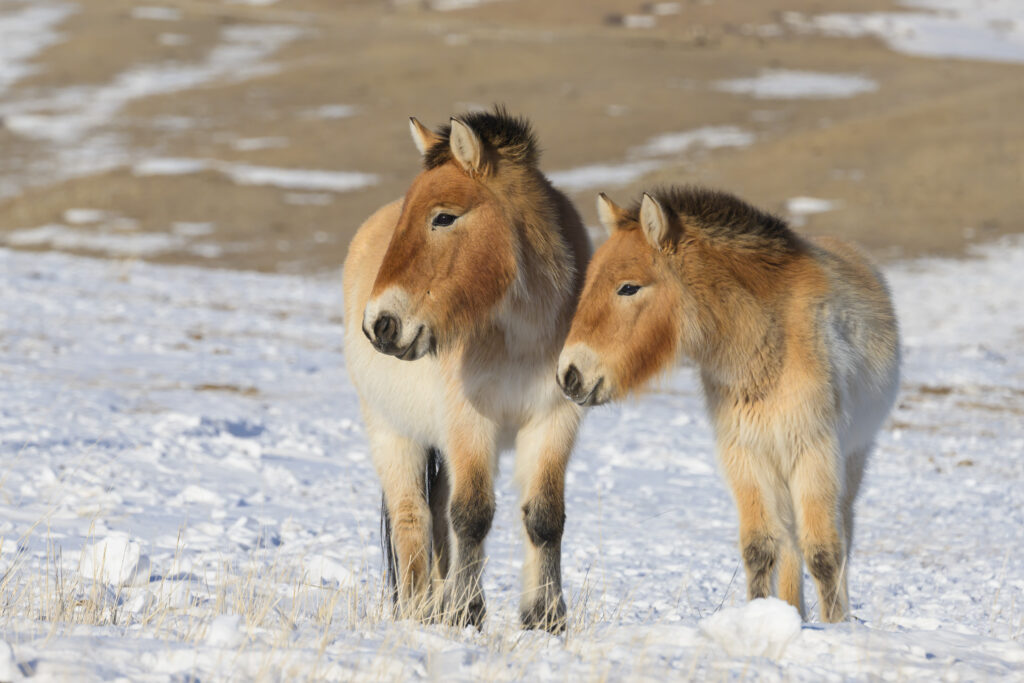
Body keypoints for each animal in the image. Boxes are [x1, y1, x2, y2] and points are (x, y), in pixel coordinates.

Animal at [342, 107, 590, 632]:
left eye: (444, 216)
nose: (380, 324)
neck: (518, 332)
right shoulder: (469, 423)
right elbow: (472, 515)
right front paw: (466, 611)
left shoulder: (554, 421)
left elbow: (544, 517)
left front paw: (545, 616)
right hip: (392, 432)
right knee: (413, 517)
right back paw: (420, 609)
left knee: (436, 514)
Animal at [557, 187, 899, 622]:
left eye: (628, 288)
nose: (569, 375)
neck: (769, 342)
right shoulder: (745, 456)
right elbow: (759, 548)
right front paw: (759, 616)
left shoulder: (814, 453)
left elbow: (824, 553)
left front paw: (837, 625)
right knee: (789, 540)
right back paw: (792, 611)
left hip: (850, 462)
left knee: (840, 534)